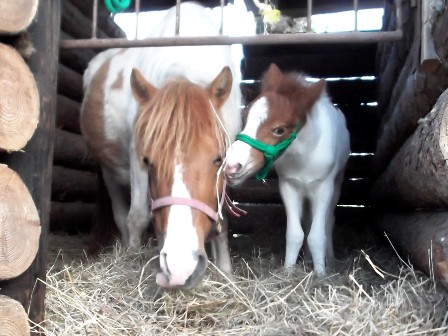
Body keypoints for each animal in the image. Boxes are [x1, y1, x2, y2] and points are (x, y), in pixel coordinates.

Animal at [80, 2, 242, 290]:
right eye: (149, 161)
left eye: (218, 158)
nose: (180, 267)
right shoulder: (136, 157)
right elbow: (137, 216)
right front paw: (130, 261)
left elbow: (221, 218)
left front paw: (226, 271)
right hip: (109, 171)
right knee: (121, 214)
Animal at [226, 63, 348, 276]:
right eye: (245, 116)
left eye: (279, 130)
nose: (232, 167)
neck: (303, 157)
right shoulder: (289, 187)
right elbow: (295, 234)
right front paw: (288, 271)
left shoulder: (323, 188)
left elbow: (317, 234)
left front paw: (321, 275)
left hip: (336, 184)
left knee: (328, 220)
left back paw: (330, 260)